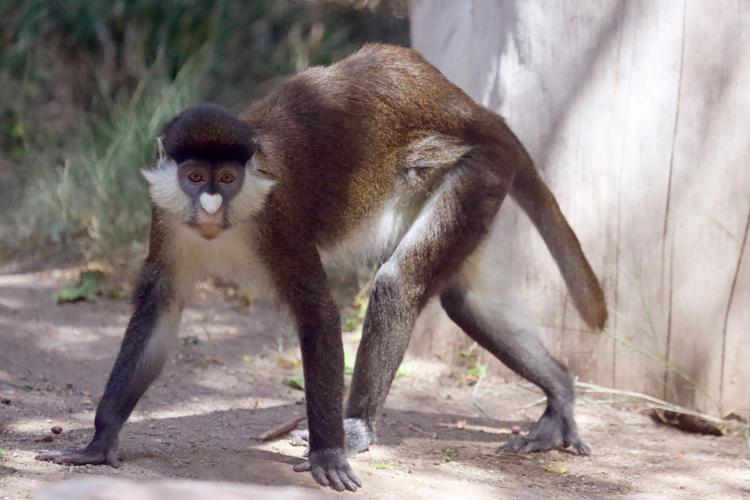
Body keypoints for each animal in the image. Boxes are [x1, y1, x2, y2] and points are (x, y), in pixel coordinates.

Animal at [36, 44, 607, 492]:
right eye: (196, 177)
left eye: (226, 178)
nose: (211, 205)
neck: (233, 221)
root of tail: (475, 111)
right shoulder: (167, 219)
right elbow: (161, 309)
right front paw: (99, 441)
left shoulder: (279, 221)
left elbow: (317, 312)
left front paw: (328, 453)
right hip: (478, 185)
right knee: (466, 301)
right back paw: (560, 391)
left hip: (477, 171)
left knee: (399, 284)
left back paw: (357, 429)